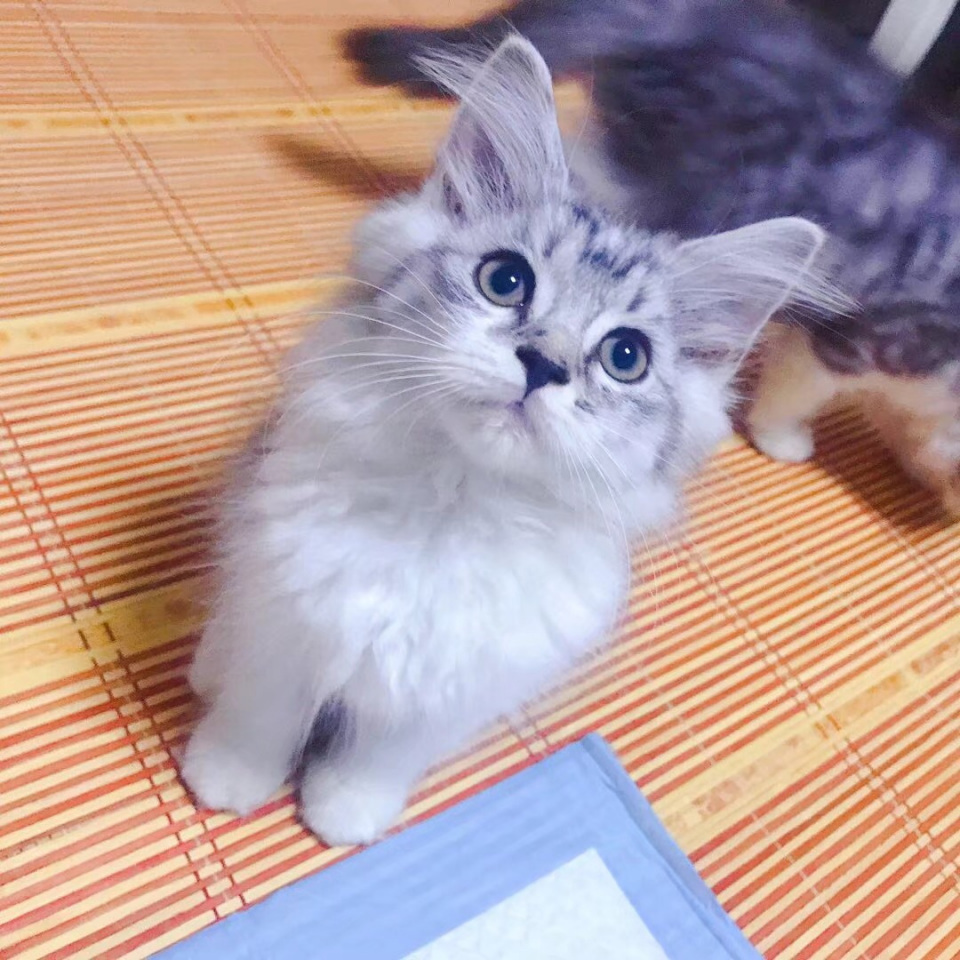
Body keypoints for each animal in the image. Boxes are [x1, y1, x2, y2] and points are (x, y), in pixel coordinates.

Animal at [181, 36, 831, 846]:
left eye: (625, 356)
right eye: (505, 279)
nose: (544, 363)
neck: (451, 509)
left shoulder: (451, 691)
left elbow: (377, 759)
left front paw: (346, 814)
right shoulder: (287, 617)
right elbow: (260, 714)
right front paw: (224, 778)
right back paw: (206, 664)